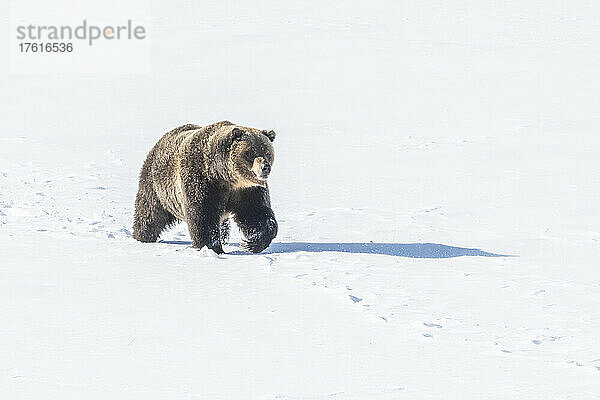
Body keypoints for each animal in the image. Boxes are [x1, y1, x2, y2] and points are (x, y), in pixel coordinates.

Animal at [132, 120, 278, 255]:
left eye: (267, 152)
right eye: (250, 152)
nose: (265, 167)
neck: (225, 176)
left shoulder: (247, 190)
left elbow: (256, 212)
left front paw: (252, 242)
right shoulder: (202, 180)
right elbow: (202, 215)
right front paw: (212, 247)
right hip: (157, 186)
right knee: (149, 212)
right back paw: (143, 236)